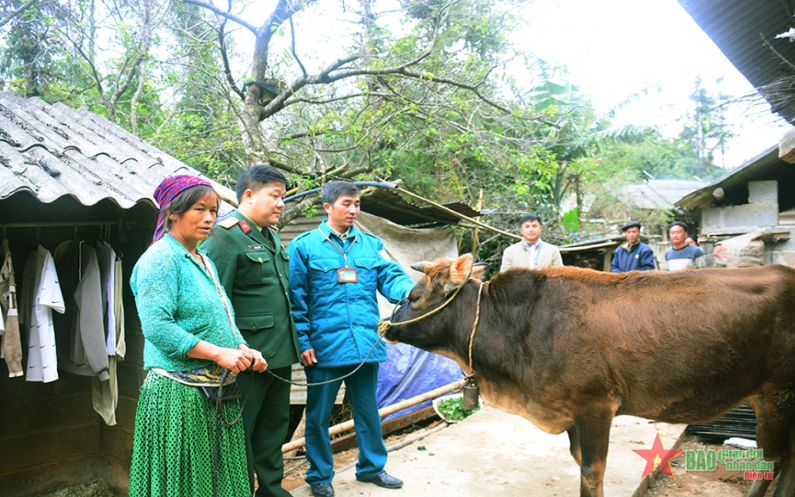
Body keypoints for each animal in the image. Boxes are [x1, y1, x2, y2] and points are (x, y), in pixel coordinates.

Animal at [384, 254, 795, 496]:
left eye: (415, 297)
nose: (386, 326)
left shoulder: (595, 406)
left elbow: (591, 472)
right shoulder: (572, 415)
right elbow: (579, 461)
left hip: (777, 396)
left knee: (774, 460)